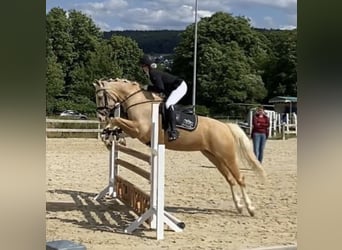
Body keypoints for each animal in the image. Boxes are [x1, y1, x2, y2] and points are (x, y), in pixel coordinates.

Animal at [94, 77, 268, 215]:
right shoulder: (135, 131)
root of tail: (225, 126)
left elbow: (116, 120)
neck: (138, 102)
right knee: (230, 179)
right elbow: (118, 127)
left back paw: (250, 208)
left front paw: (108, 131)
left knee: (240, 178)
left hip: (227, 155)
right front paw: (108, 136)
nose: (100, 116)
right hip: (214, 157)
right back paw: (239, 206)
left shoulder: (139, 130)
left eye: (100, 96)